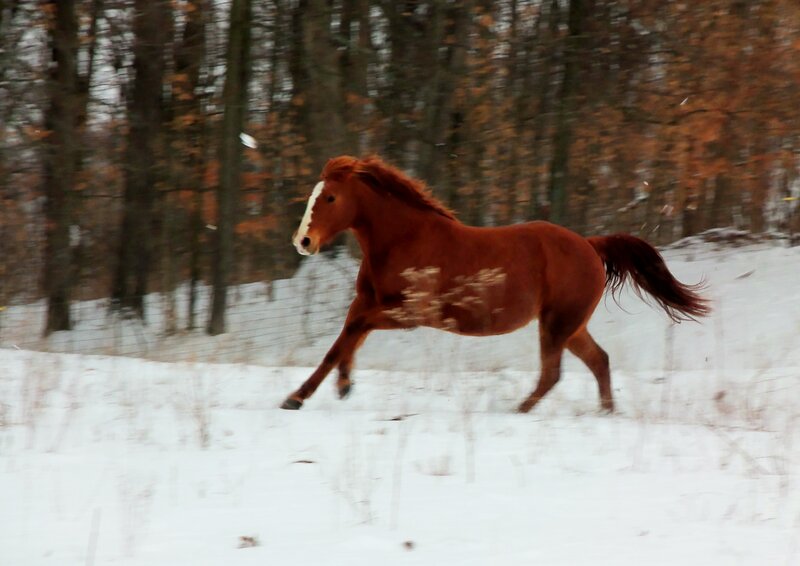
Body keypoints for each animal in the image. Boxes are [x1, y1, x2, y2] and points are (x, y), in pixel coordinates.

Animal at [281, 155, 710, 413]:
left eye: (330, 198)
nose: (303, 241)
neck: (404, 239)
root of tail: (590, 245)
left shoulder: (409, 313)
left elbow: (349, 334)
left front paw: (301, 396)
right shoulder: (369, 302)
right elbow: (345, 340)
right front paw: (338, 386)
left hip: (557, 325)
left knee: (553, 374)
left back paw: (518, 411)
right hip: (570, 326)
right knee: (598, 361)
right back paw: (605, 412)